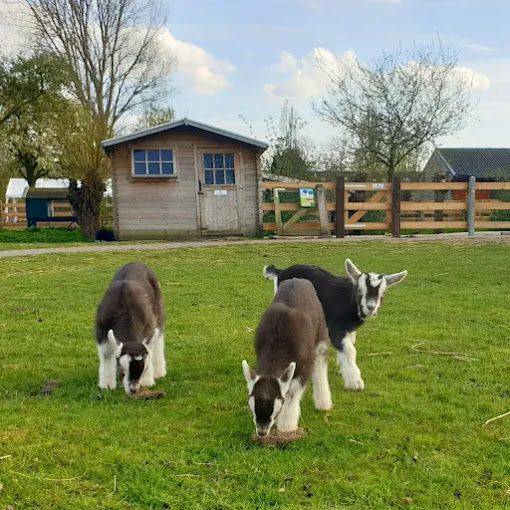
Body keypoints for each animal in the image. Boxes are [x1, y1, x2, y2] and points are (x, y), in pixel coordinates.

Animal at [262, 260, 406, 392]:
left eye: (383, 293)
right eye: (360, 291)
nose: (370, 307)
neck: (349, 300)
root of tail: (281, 271)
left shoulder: (349, 330)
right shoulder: (336, 328)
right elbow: (350, 350)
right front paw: (355, 382)